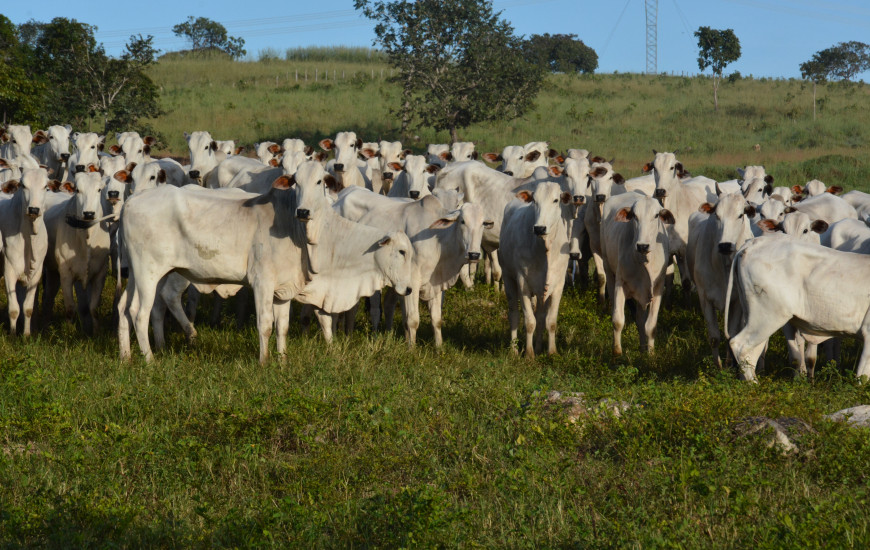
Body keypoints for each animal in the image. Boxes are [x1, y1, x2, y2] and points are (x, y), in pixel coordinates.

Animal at [500, 183, 576, 360]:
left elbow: (550, 321)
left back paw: (539, 347)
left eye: (556, 200)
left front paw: (551, 351)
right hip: (508, 277)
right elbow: (529, 322)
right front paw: (529, 354)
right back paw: (514, 350)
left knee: (541, 317)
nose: (540, 228)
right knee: (514, 314)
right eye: (534, 200)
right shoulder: (523, 283)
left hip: (542, 291)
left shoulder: (558, 285)